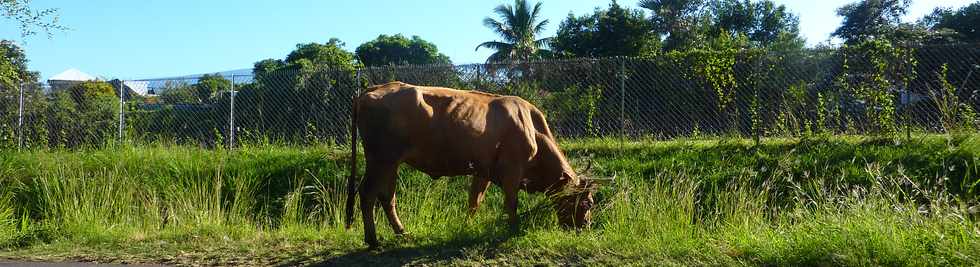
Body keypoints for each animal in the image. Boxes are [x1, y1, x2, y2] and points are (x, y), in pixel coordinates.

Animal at [340, 81, 592, 249]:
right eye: (587, 203)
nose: (585, 228)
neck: (533, 130)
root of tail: (372, 90)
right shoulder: (512, 171)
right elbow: (511, 203)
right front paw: (513, 229)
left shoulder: (483, 171)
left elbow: (474, 201)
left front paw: (466, 227)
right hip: (380, 160)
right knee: (367, 193)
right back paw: (373, 240)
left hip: (391, 163)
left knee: (387, 197)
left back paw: (402, 233)